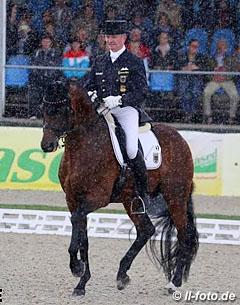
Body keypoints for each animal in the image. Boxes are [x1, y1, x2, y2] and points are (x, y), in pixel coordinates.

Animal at [40, 79, 199, 296]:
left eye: (63, 109)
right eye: (44, 108)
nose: (46, 145)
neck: (83, 146)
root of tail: (180, 138)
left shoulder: (97, 198)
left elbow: (76, 224)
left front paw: (77, 268)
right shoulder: (73, 200)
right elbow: (83, 238)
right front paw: (82, 283)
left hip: (175, 196)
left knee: (184, 234)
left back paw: (173, 283)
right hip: (131, 199)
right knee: (146, 230)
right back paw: (122, 275)